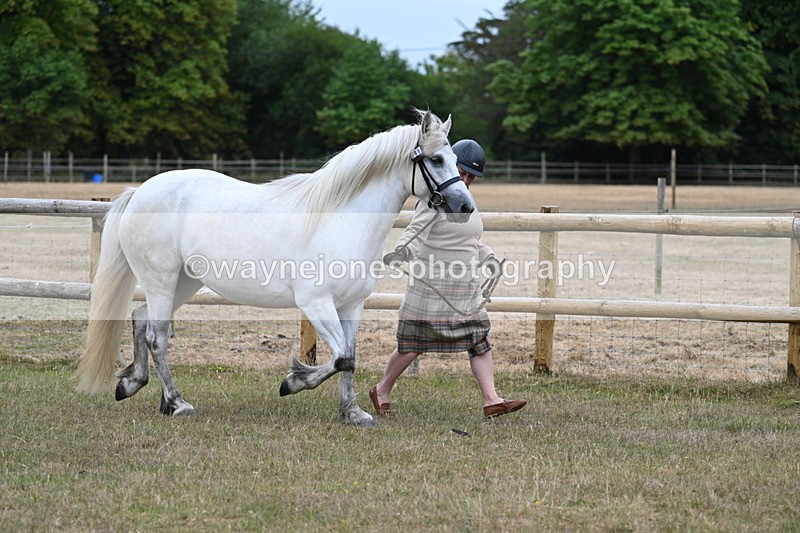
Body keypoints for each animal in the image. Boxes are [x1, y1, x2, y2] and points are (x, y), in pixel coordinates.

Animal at [76, 110, 475, 426]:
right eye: (436, 160)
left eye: (453, 158)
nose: (465, 207)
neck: (341, 218)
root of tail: (139, 192)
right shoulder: (316, 303)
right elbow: (341, 358)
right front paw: (294, 382)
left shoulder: (351, 305)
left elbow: (350, 358)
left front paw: (352, 413)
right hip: (161, 279)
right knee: (157, 336)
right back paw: (177, 403)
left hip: (183, 282)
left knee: (141, 319)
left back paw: (133, 385)